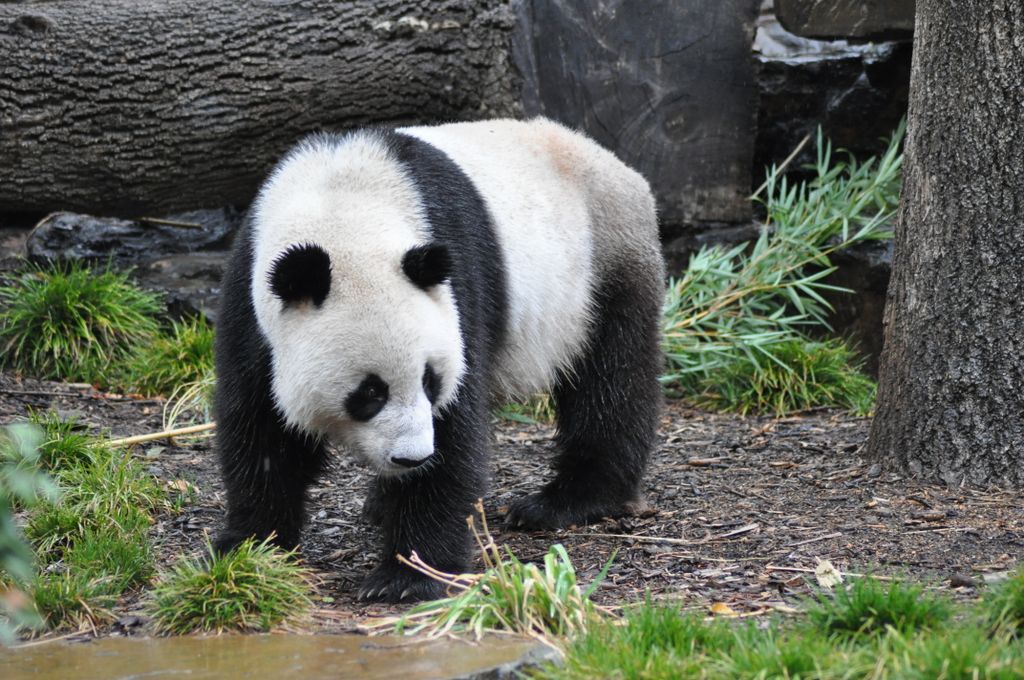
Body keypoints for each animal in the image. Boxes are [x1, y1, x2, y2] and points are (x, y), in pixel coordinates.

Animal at [213, 118, 665, 602]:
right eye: (369, 393)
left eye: (431, 381)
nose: (412, 459)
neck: (343, 206)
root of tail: (614, 163)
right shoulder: (250, 299)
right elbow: (262, 427)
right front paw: (251, 547)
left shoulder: (455, 288)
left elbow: (454, 433)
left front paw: (407, 577)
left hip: (602, 267)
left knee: (611, 379)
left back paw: (565, 501)